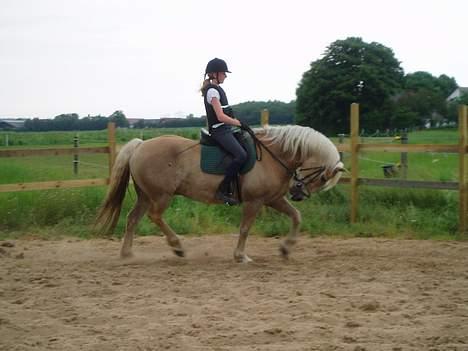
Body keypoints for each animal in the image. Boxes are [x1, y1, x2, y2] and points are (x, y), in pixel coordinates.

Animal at [95, 125, 344, 262]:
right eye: (323, 178)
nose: (297, 193)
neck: (273, 155)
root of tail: (139, 145)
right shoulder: (254, 201)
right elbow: (245, 229)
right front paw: (241, 256)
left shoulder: (272, 199)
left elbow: (296, 217)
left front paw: (285, 249)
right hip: (161, 195)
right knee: (154, 216)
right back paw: (178, 247)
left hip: (146, 196)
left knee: (132, 219)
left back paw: (128, 254)